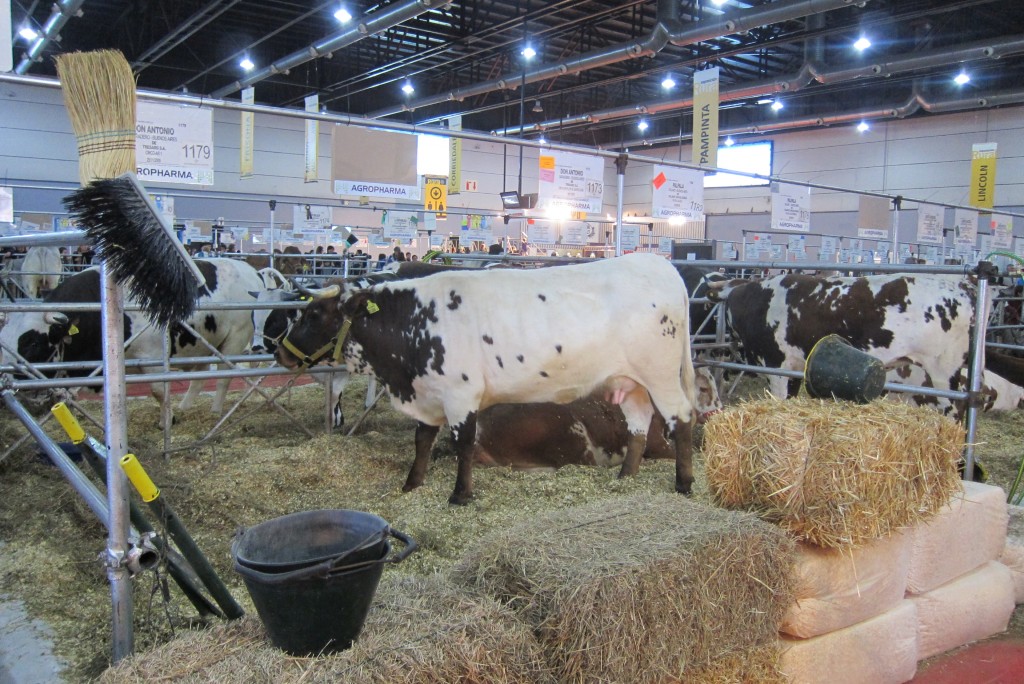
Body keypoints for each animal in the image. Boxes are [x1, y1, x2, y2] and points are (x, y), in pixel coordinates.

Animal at [1, 260, 264, 423]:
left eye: (32, 344)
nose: (7, 383)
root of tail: (251, 271)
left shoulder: (153, 356)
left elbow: (158, 391)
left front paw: (167, 420)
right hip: (203, 343)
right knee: (200, 375)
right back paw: (186, 406)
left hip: (235, 339)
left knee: (223, 377)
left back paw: (216, 411)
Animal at [276, 253, 700, 505]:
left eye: (314, 314)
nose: (280, 352)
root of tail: (658, 263)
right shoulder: (429, 394)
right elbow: (422, 440)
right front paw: (412, 483)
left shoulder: (461, 395)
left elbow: (462, 444)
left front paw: (460, 495)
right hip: (630, 382)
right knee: (638, 426)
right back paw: (625, 478)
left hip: (662, 376)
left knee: (682, 420)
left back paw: (684, 483)